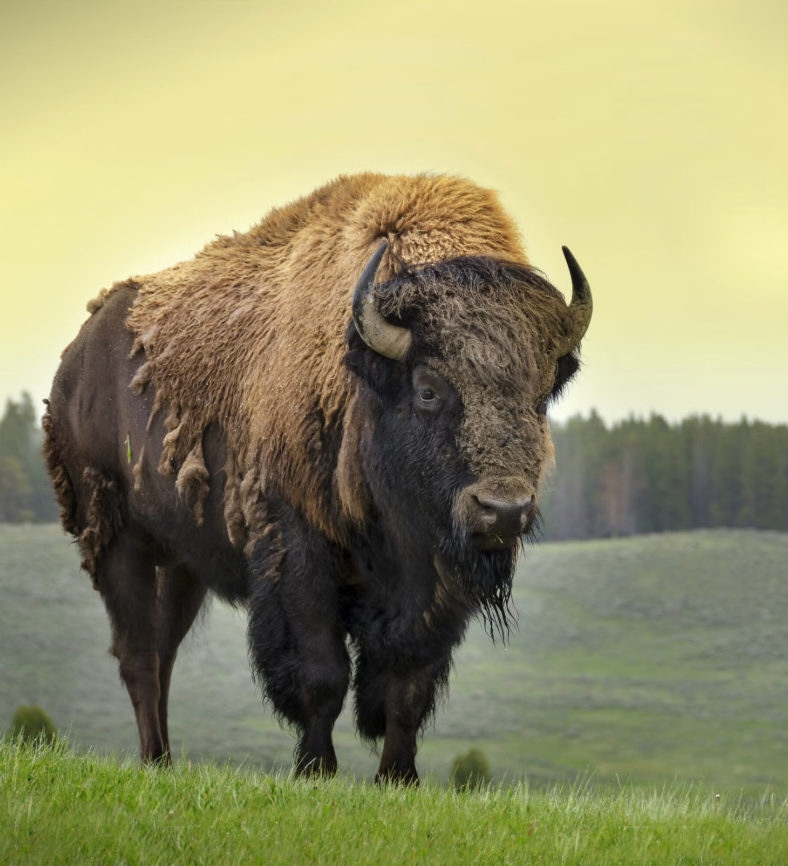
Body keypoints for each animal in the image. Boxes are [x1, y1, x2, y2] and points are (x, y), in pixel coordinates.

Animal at [44, 173, 591, 782]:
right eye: (427, 388)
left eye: (541, 395)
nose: (503, 510)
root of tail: (75, 361)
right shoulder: (297, 549)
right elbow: (322, 674)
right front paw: (316, 769)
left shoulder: (433, 585)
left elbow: (408, 684)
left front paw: (397, 777)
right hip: (117, 539)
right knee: (139, 655)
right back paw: (156, 759)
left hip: (184, 562)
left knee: (163, 651)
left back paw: (162, 763)